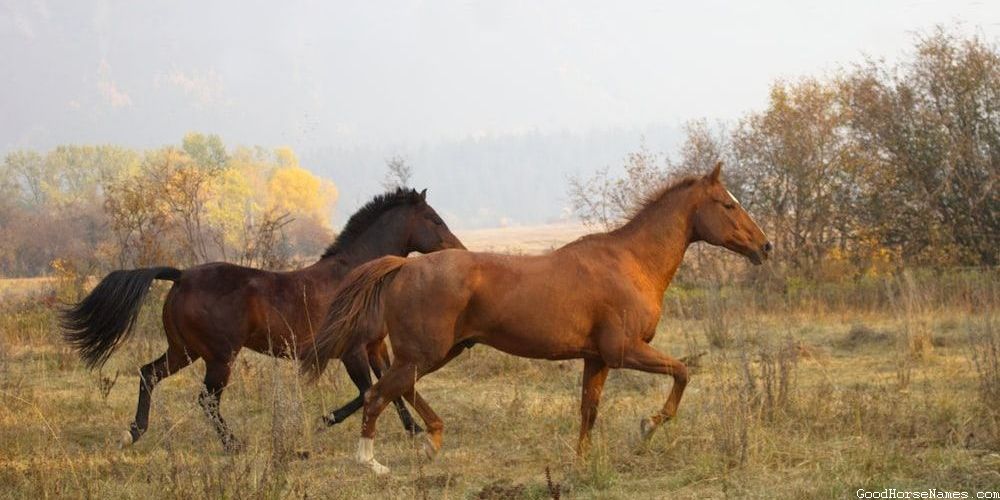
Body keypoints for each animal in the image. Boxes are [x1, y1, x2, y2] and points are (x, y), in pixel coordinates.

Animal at [62, 188, 465, 451]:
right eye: (433, 219)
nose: (460, 251)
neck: (360, 274)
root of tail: (181, 276)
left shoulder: (375, 347)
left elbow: (393, 389)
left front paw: (414, 431)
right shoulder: (350, 352)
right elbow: (368, 392)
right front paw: (321, 423)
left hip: (184, 351)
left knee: (149, 374)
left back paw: (133, 432)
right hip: (219, 357)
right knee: (206, 400)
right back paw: (233, 444)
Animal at [302, 163, 771, 474]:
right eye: (728, 205)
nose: (765, 247)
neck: (631, 262)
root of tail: (403, 265)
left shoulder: (596, 359)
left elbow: (588, 411)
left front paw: (580, 463)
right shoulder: (624, 351)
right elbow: (682, 373)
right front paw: (646, 426)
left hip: (437, 353)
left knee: (396, 389)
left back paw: (431, 441)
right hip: (423, 354)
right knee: (377, 394)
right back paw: (373, 463)